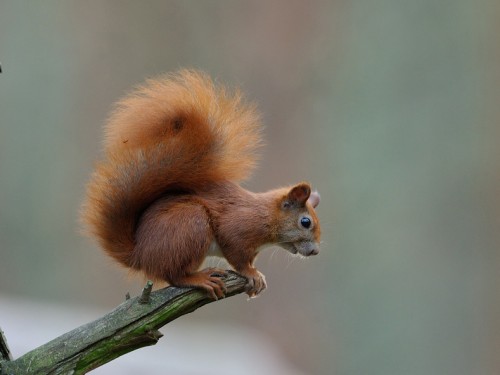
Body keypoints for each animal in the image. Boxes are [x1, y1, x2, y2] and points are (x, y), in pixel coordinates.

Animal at [83, 70, 320, 300]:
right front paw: (251, 273)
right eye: (305, 222)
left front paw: (257, 277)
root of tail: (140, 255)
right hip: (190, 225)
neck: (267, 216)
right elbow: (237, 255)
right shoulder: (238, 227)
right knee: (173, 275)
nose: (316, 252)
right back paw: (200, 278)